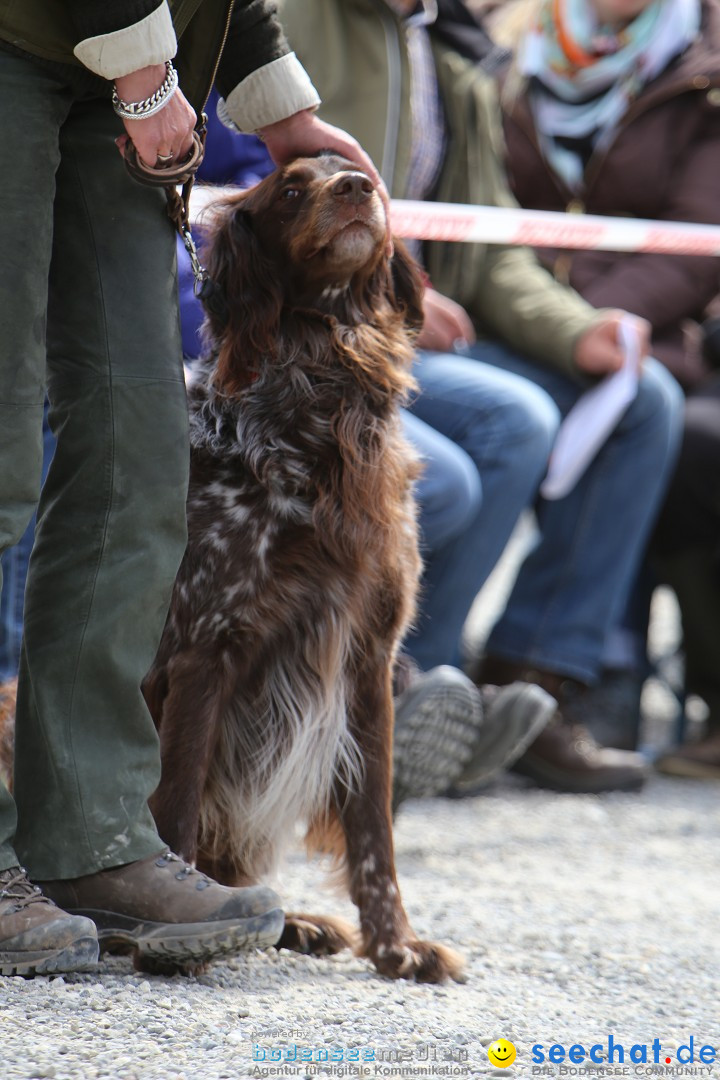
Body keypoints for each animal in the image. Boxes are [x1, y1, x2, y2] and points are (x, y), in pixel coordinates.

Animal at [145, 154, 462, 989]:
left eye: (365, 177)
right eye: (290, 188)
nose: (355, 188)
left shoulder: (370, 660)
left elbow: (374, 828)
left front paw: (396, 946)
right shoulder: (205, 646)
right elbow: (176, 802)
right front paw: (174, 928)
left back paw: (296, 921)